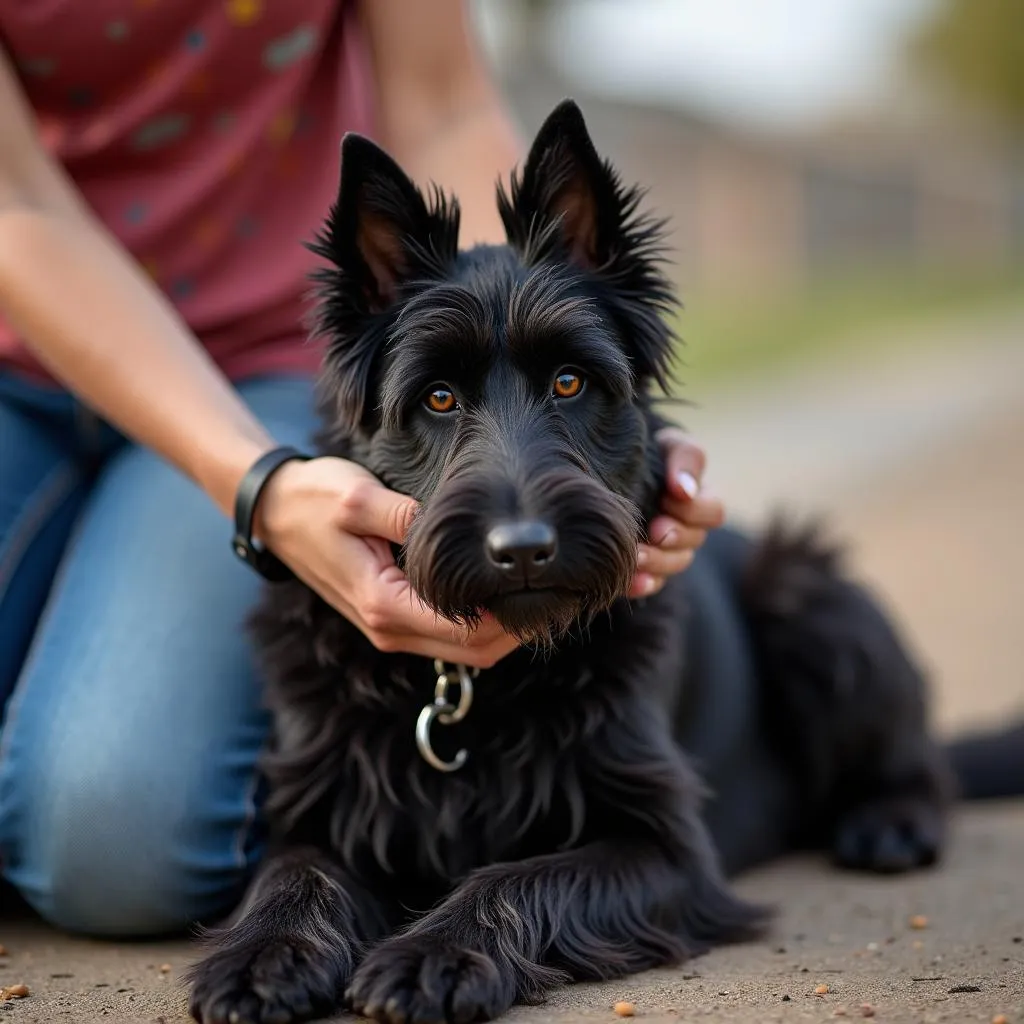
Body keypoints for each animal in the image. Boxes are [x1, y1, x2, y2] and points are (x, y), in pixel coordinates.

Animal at [186, 101, 983, 1024]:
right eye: (438, 398)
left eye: (570, 382)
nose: (523, 549)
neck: (481, 688)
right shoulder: (318, 812)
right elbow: (295, 875)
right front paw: (262, 955)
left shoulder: (663, 847)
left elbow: (517, 879)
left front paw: (434, 954)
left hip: (810, 595)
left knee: (925, 765)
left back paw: (891, 822)